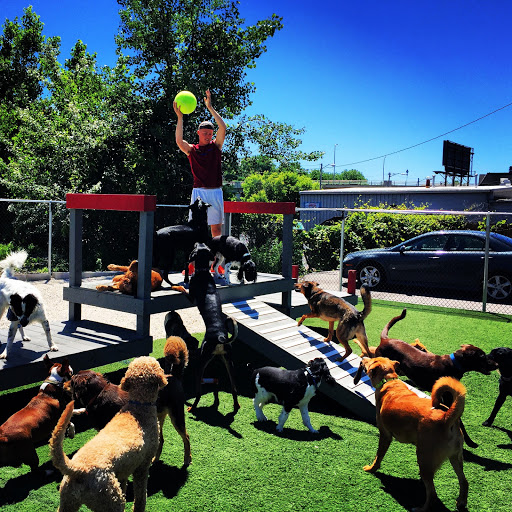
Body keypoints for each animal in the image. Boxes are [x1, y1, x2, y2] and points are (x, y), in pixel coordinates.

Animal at [50, 356, 166, 512]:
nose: (63, 385)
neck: (138, 406)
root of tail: (77, 469)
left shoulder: (122, 473)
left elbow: (124, 485)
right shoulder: (142, 468)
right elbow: (141, 497)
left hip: (68, 501)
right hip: (111, 500)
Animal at [170, 243, 238, 412]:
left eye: (198, 246)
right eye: (204, 246)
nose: (197, 242)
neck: (203, 272)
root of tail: (221, 337)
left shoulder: (191, 297)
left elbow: (183, 289)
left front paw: (177, 286)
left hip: (200, 362)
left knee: (199, 392)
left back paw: (191, 408)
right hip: (229, 363)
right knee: (234, 388)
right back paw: (236, 406)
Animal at [356, 356, 468, 512]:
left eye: (370, 361)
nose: (363, 358)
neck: (389, 381)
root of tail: (447, 418)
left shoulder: (385, 435)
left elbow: (378, 456)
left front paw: (372, 469)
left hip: (424, 457)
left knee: (432, 494)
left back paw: (420, 508)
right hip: (455, 458)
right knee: (464, 481)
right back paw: (461, 502)